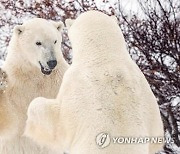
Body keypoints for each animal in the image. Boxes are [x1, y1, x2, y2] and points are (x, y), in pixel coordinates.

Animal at [0, 18, 68, 154]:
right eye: (38, 42)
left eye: (55, 41)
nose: (52, 62)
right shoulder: (15, 85)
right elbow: (7, 121)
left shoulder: (58, 81)